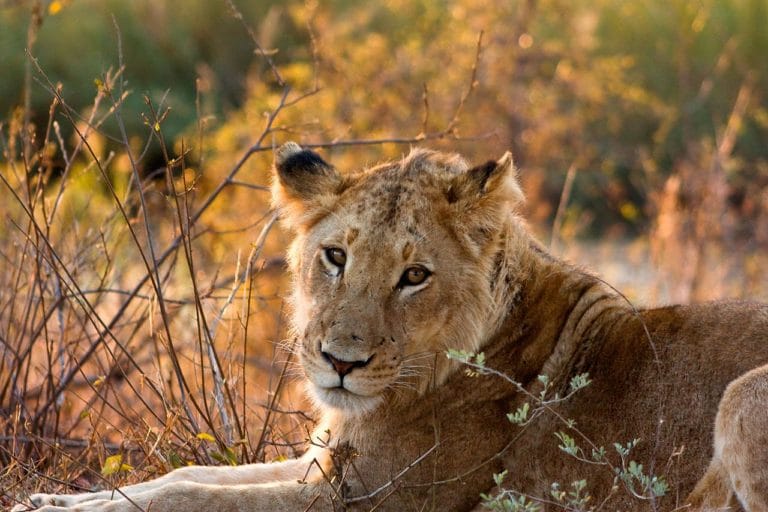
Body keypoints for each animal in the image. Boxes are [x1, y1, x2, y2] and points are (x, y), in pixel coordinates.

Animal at [14, 143, 768, 512]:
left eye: (414, 275)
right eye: (335, 256)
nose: (339, 362)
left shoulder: (375, 499)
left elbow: (192, 498)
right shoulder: (324, 462)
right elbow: (185, 474)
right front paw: (54, 499)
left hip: (740, 396)